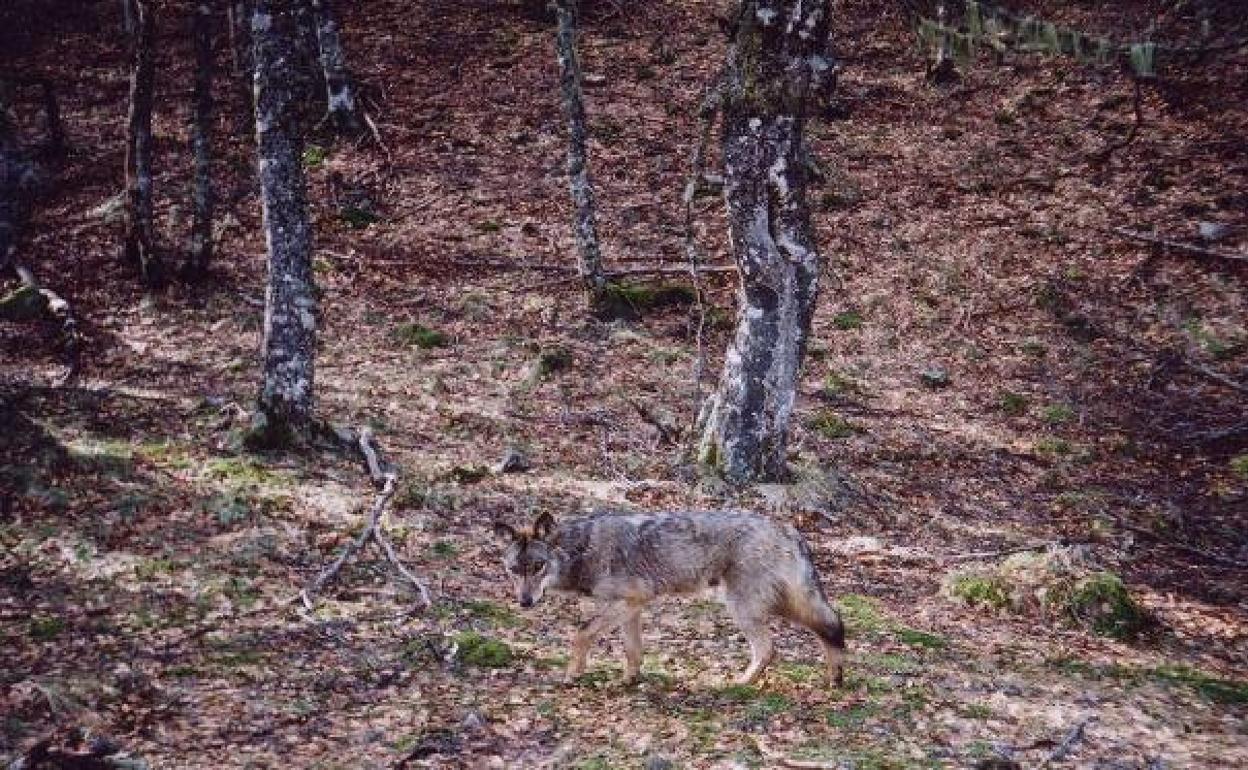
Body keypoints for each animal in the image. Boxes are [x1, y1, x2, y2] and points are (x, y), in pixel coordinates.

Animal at [491, 511, 843, 683]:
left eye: (538, 566)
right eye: (514, 570)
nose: (524, 602)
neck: (582, 549)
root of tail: (789, 529)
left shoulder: (627, 602)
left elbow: (580, 633)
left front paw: (572, 674)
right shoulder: (632, 607)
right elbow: (632, 651)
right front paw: (629, 680)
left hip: (743, 607)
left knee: (777, 646)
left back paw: (739, 683)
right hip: (772, 605)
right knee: (831, 626)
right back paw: (834, 678)